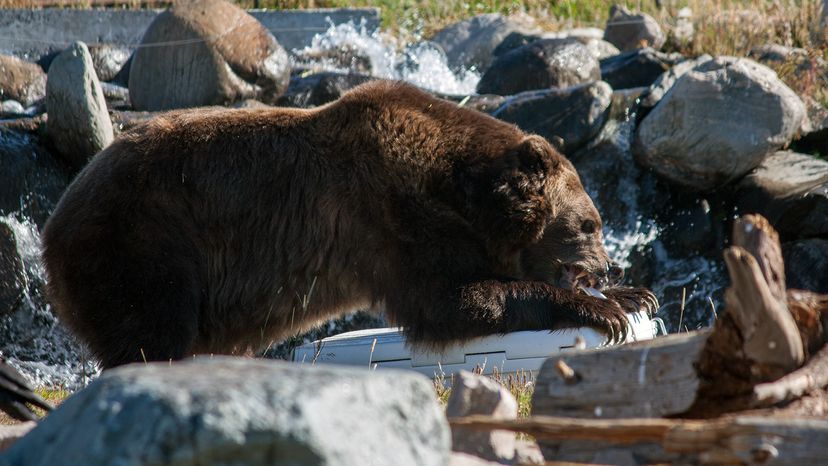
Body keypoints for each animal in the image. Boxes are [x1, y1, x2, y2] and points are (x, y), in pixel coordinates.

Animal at [42, 79, 656, 368]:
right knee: (151, 331)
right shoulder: (393, 220)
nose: (607, 265)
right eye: (591, 223)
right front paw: (603, 310)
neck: (462, 193)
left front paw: (634, 296)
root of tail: (52, 222)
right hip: (143, 241)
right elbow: (451, 301)